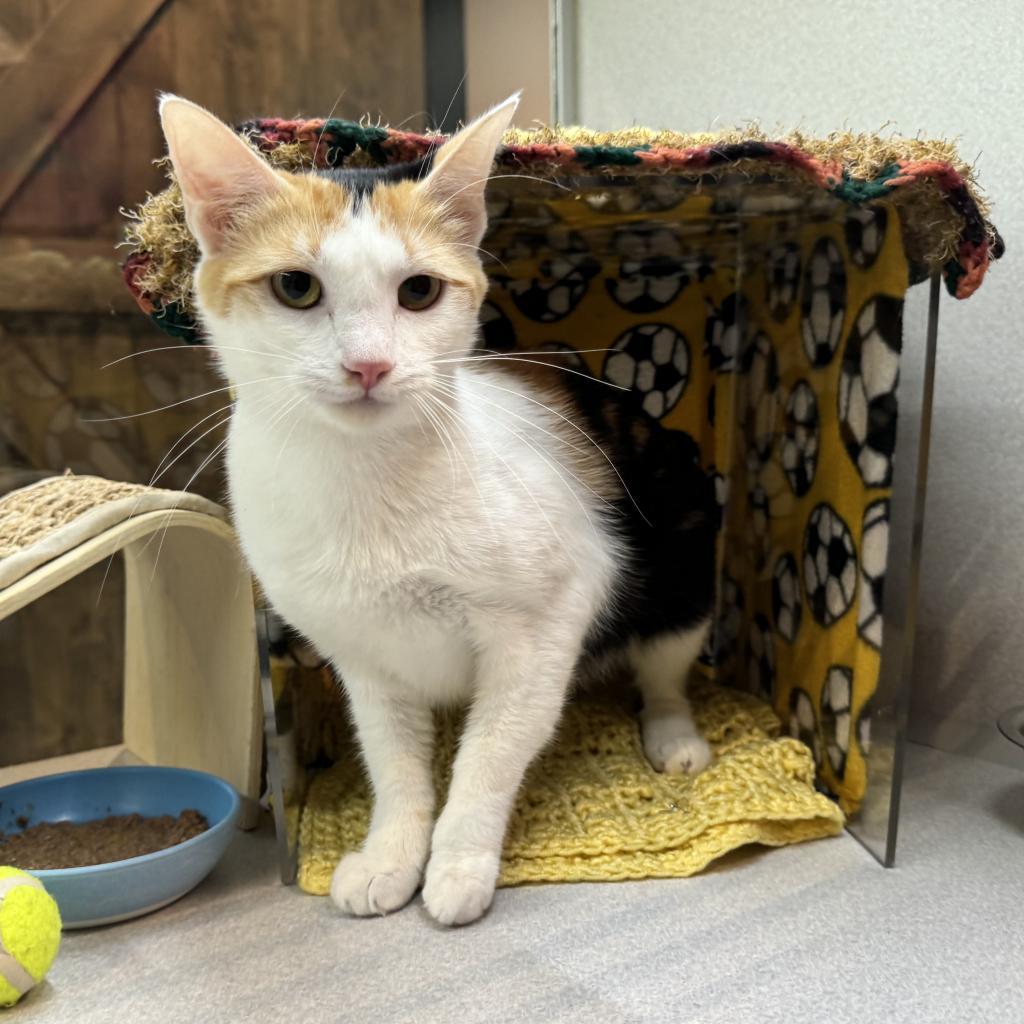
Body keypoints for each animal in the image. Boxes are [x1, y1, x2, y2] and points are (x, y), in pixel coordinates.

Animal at [161, 96, 720, 929]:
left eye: (419, 291)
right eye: (296, 287)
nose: (369, 365)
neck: (365, 483)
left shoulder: (546, 625)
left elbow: (489, 756)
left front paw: (458, 863)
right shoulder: (363, 659)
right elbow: (394, 764)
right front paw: (392, 855)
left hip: (681, 556)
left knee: (663, 667)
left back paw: (673, 735)